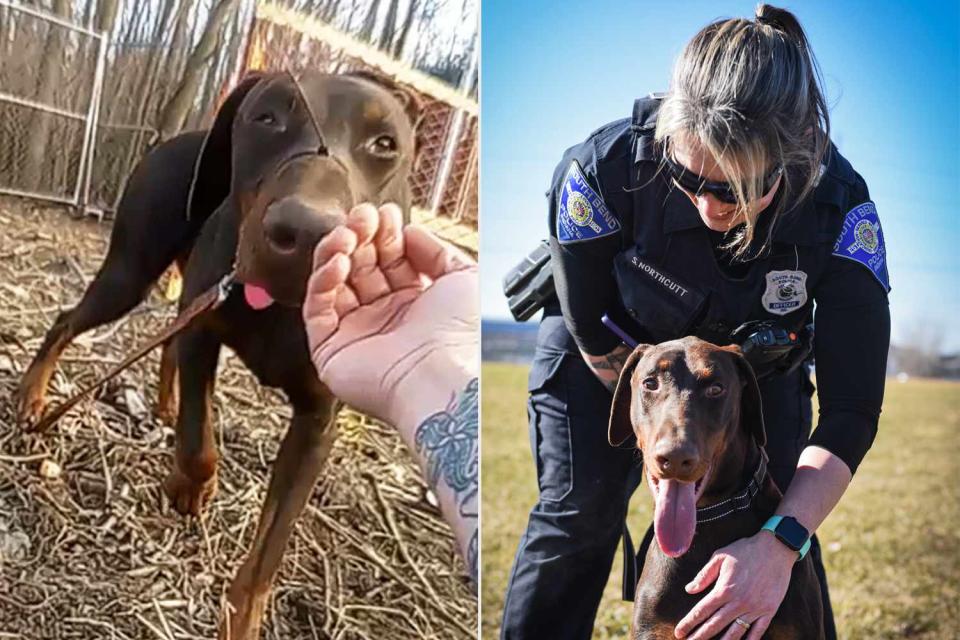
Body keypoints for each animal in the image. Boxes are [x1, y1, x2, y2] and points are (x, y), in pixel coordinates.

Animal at [15, 71, 420, 640]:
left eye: (385, 144)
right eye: (266, 118)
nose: (307, 235)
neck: (278, 308)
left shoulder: (317, 425)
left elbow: (268, 551)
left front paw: (241, 620)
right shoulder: (205, 333)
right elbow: (198, 441)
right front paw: (190, 487)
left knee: (165, 338)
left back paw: (159, 404)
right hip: (131, 271)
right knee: (69, 322)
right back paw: (33, 395)